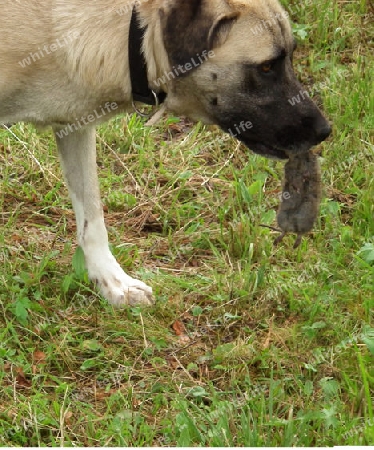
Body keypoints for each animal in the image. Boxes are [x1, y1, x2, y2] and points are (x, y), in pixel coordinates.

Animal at [0, 0, 334, 308]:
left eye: (288, 57)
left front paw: (113, 283)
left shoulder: (75, 127)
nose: (324, 131)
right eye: (266, 66)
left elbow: (92, 220)